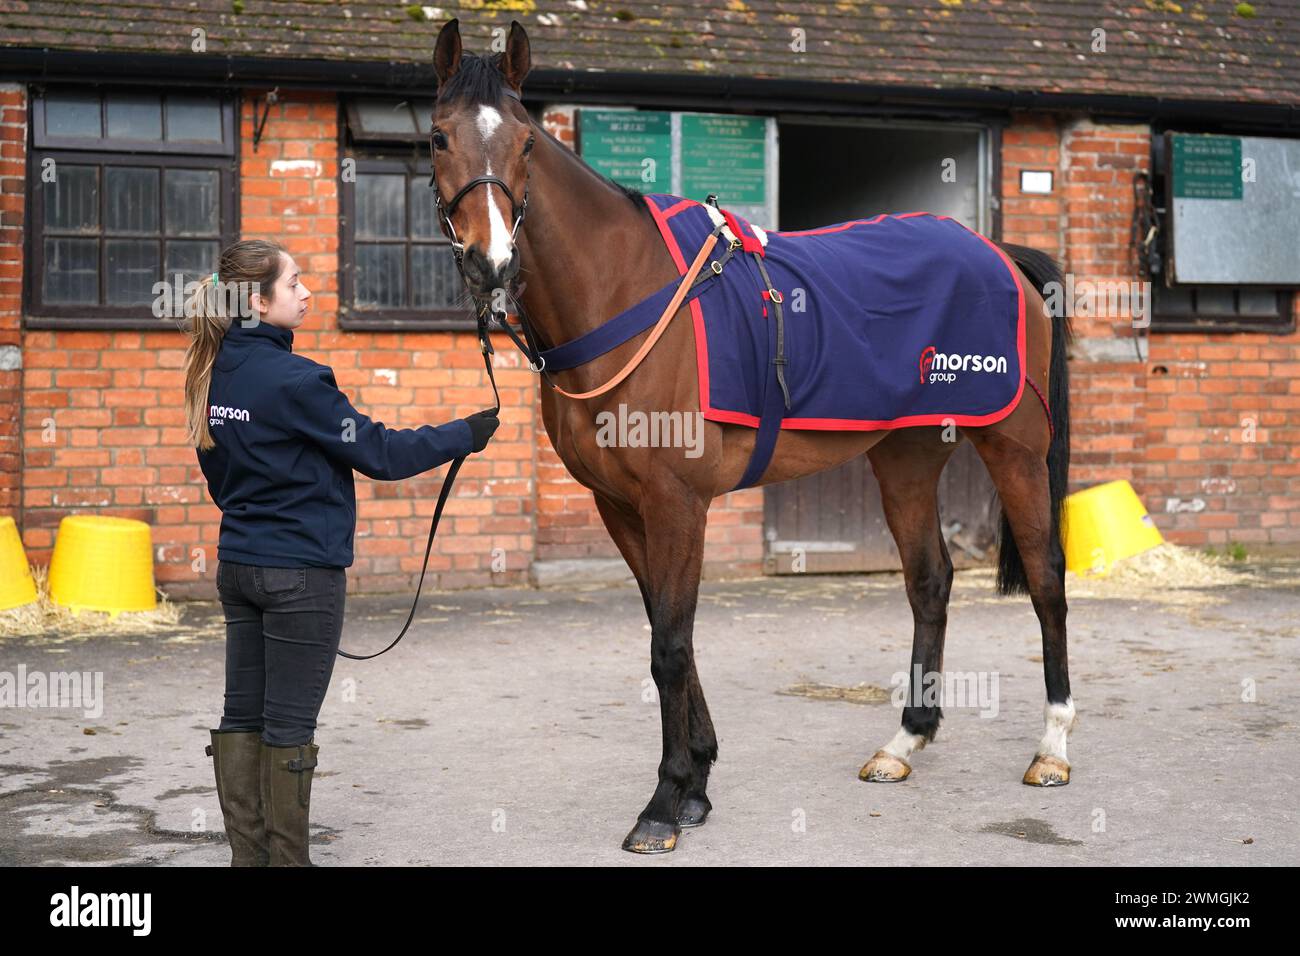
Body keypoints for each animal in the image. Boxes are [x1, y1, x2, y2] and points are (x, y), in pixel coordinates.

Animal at [427, 18, 1075, 854]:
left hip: (1014, 450)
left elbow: (669, 645)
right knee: (930, 581)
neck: (627, 293)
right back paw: (904, 741)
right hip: (905, 458)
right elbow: (667, 630)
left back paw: (1052, 748)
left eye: (527, 143)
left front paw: (666, 800)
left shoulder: (676, 502)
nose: (492, 262)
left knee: (1048, 579)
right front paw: (698, 781)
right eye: (439, 137)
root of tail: (1002, 257)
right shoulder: (620, 505)